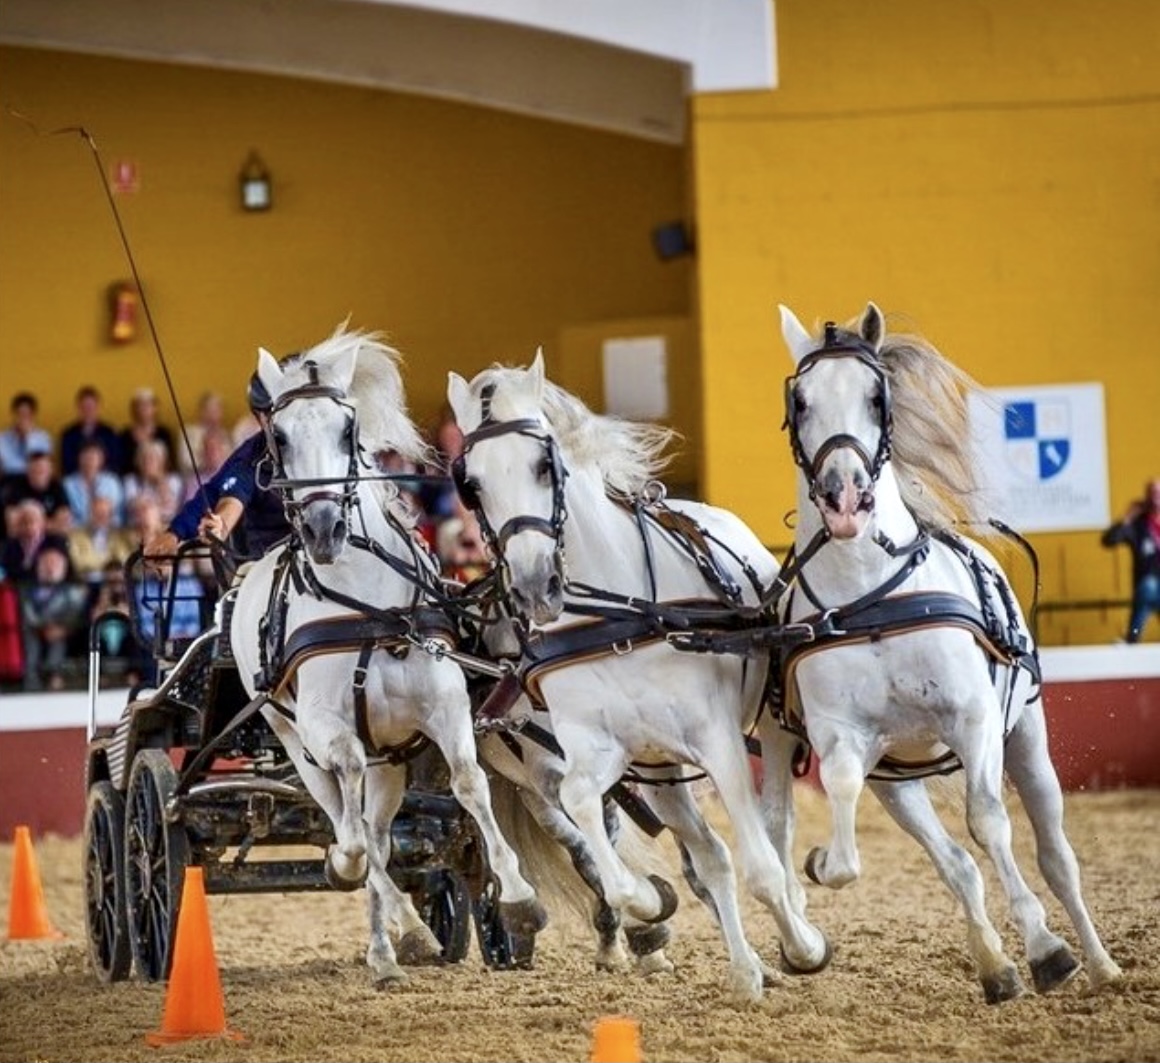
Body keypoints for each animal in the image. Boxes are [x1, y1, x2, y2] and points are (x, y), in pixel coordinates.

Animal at [233, 324, 549, 979]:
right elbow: (351, 821)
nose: (324, 529)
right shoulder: (324, 727)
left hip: (393, 761)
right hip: (290, 736)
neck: (368, 609)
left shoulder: (445, 708)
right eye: (279, 436)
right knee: (346, 819)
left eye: (347, 430)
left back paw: (386, 949)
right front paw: (362, 880)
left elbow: (469, 783)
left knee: (376, 828)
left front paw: (518, 898)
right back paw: (397, 926)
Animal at [445, 352, 835, 1002]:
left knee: (772, 829)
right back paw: (742, 967)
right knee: (709, 854)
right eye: (470, 483)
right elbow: (587, 812)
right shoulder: (592, 751)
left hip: (765, 724)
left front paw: (804, 945)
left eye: (543, 463)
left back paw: (795, 931)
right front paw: (646, 902)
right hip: (657, 770)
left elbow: (759, 864)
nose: (534, 585)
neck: (618, 617)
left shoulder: (718, 741)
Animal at [770, 301, 1122, 1002]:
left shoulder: (974, 719)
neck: (871, 595)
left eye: (876, 396)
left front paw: (1047, 947)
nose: (845, 497)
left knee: (1054, 855)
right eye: (800, 400)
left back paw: (1098, 963)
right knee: (955, 864)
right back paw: (994, 965)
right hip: (898, 782)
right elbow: (851, 824)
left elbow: (988, 822)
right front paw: (822, 862)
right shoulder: (846, 737)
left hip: (1025, 738)